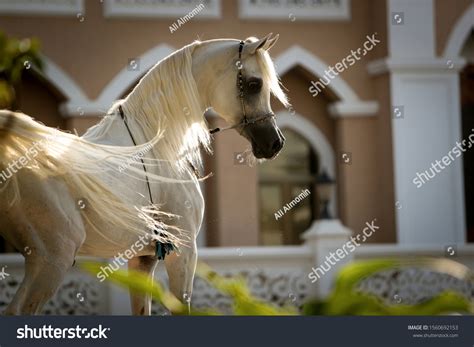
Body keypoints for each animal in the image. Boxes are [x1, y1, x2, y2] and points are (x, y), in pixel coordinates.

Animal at [0, 34, 288, 316]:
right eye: (254, 83)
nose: (276, 143)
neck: (156, 145)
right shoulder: (184, 253)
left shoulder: (142, 259)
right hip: (51, 261)